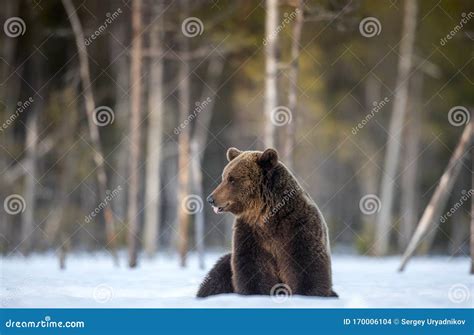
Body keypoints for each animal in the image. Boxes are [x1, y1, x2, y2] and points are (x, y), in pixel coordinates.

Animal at [196, 150, 336, 300]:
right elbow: (252, 269)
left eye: (232, 179)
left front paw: (306, 293)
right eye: (224, 177)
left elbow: (306, 266)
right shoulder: (251, 234)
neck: (265, 215)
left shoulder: (298, 227)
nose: (211, 199)